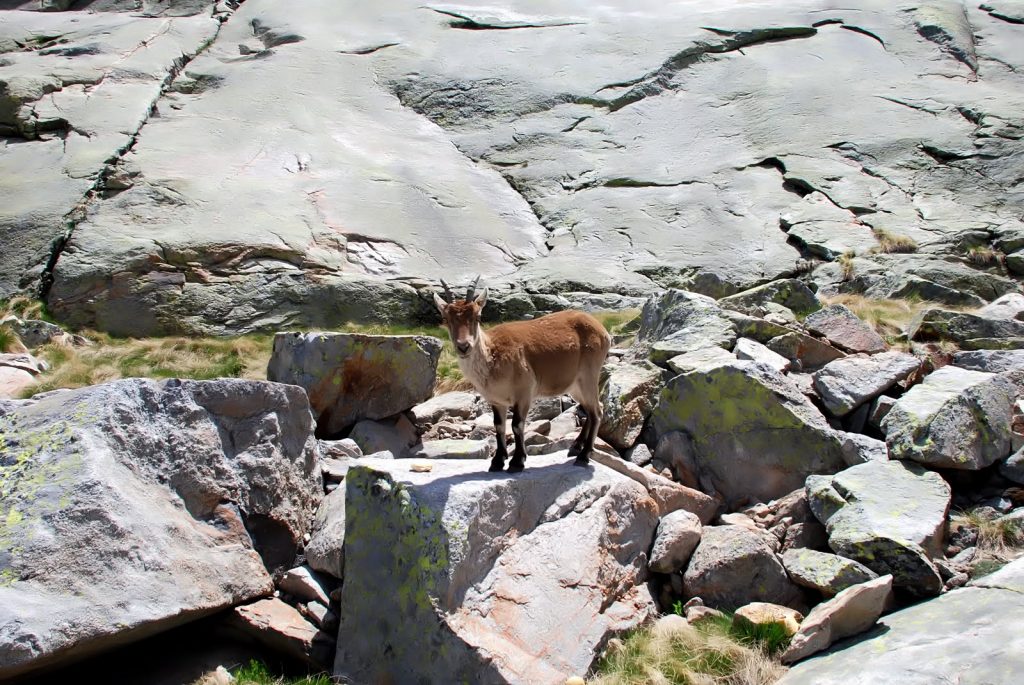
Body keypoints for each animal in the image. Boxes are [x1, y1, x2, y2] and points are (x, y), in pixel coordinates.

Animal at [433, 278, 611, 473]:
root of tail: (602, 330)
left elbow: (517, 425)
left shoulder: (524, 392)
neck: (493, 355)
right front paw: (497, 461)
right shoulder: (496, 400)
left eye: (478, 317)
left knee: (597, 411)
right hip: (574, 385)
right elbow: (499, 426)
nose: (464, 346)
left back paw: (583, 455)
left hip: (589, 375)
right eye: (445, 319)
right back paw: (575, 447)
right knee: (593, 408)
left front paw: (517, 461)